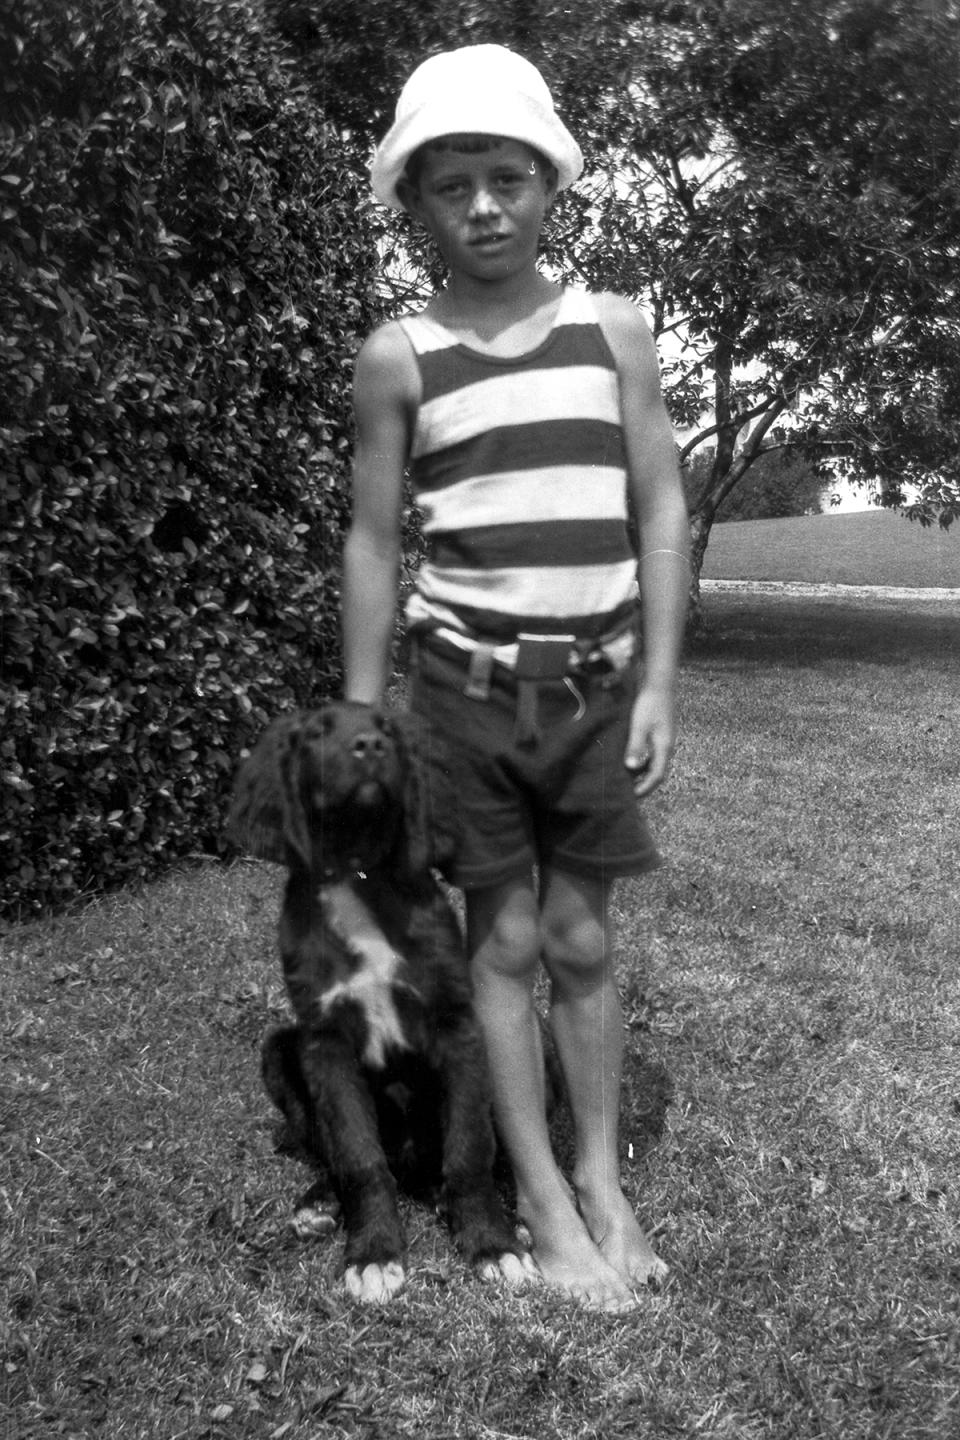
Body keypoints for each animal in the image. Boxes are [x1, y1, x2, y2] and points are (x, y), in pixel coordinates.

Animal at [228, 699, 529, 1307]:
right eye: (315, 733)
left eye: (388, 728)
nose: (369, 745)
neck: (357, 870)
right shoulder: (326, 1042)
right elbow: (357, 1154)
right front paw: (374, 1254)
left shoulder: (457, 1023)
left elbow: (470, 1148)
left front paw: (491, 1242)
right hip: (278, 1051)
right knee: (330, 1147)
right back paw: (320, 1201)